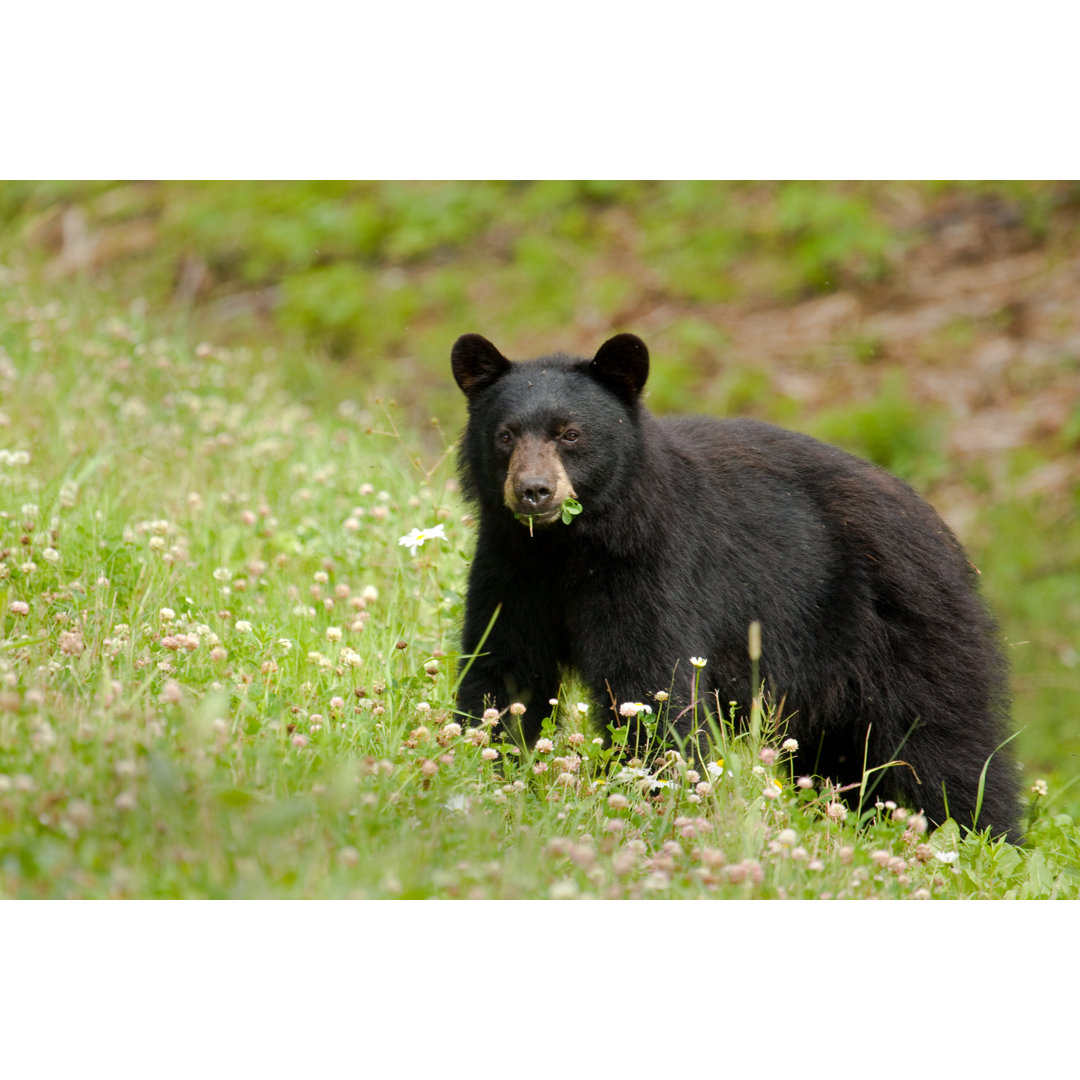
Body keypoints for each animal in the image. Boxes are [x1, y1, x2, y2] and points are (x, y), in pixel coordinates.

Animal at [449, 332, 1019, 838]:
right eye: (505, 435)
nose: (534, 491)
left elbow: (652, 686)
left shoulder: (653, 568)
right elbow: (503, 668)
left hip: (908, 630)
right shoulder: (510, 567)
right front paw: (481, 770)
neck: (568, 547)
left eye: (570, 434)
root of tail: (943, 531)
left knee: (946, 748)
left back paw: (983, 838)